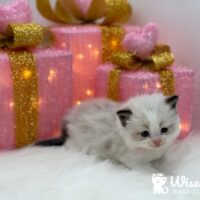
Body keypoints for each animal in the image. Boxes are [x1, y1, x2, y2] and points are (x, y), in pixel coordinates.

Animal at [36, 94, 180, 170]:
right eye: (144, 134)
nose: (157, 141)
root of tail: (68, 117)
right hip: (77, 144)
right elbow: (149, 170)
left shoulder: (160, 156)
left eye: (164, 130)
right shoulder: (132, 161)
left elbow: (163, 163)